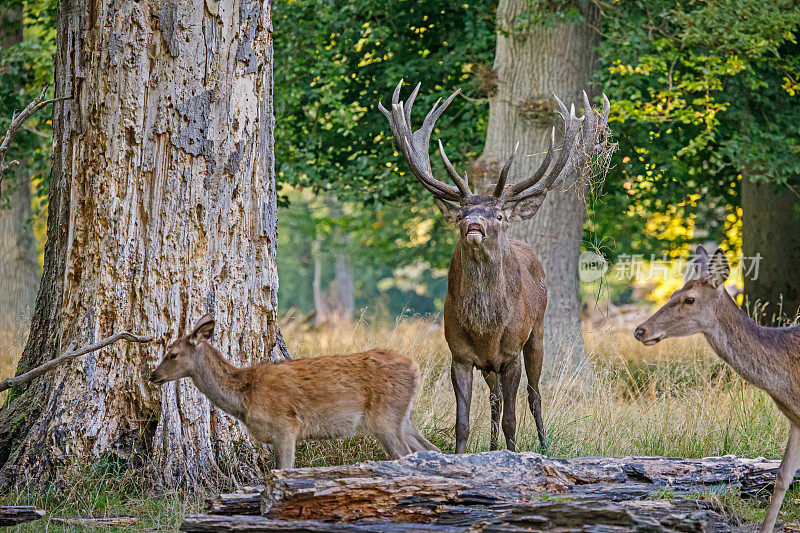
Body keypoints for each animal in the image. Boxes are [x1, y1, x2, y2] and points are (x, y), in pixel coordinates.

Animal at [150, 314, 438, 468]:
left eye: (172, 354)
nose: (153, 375)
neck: (244, 398)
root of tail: (414, 368)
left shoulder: (285, 425)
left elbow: (281, 471)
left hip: (384, 418)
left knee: (407, 455)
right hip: (403, 416)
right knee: (431, 449)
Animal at [378, 80, 608, 454]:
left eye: (498, 215)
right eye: (461, 213)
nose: (474, 223)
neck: (486, 329)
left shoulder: (511, 352)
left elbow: (514, 417)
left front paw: (514, 454)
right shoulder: (459, 354)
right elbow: (462, 421)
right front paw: (463, 455)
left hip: (537, 332)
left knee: (533, 395)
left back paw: (543, 446)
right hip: (490, 365)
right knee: (495, 399)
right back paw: (491, 444)